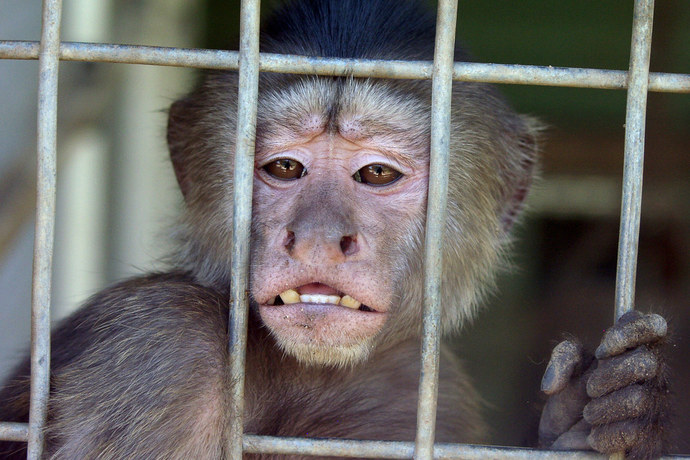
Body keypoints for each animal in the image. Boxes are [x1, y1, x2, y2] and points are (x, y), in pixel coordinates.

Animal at [0, 0, 668, 458]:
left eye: (376, 174)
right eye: (284, 168)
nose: (320, 237)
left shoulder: (435, 396)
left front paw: (591, 424)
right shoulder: (156, 349)